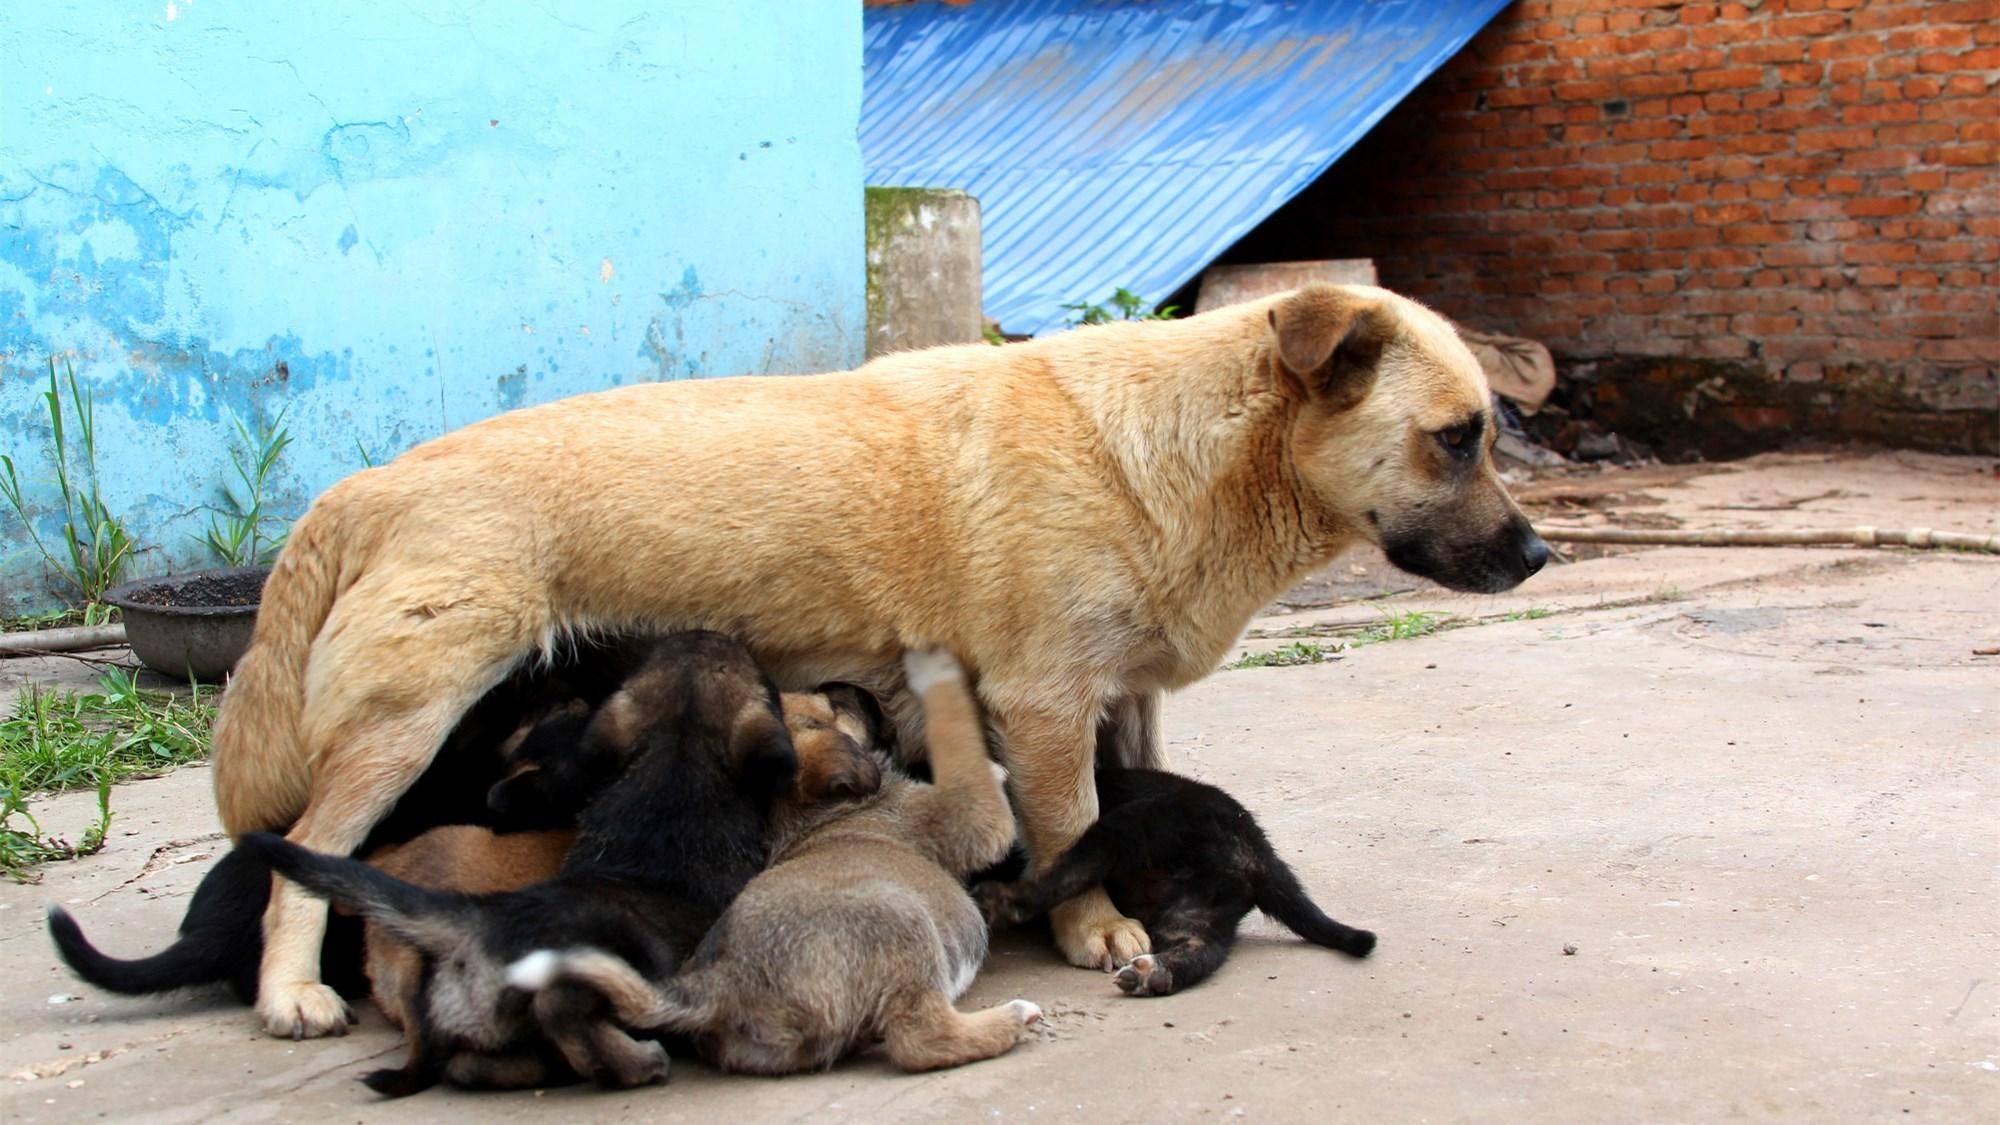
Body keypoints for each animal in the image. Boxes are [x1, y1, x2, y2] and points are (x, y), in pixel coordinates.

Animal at [508, 652, 1040, 1072]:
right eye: (830, 708)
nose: (849, 685)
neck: (810, 810)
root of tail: (721, 986)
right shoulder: (963, 818)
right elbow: (958, 740)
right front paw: (935, 671)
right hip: (902, 920)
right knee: (921, 1039)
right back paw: (1012, 1018)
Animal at [968, 764, 1376, 992]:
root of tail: (1257, 849)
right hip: (1198, 911)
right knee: (1200, 951)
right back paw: (1155, 976)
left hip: (1135, 824)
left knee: (1067, 874)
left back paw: (1004, 900)